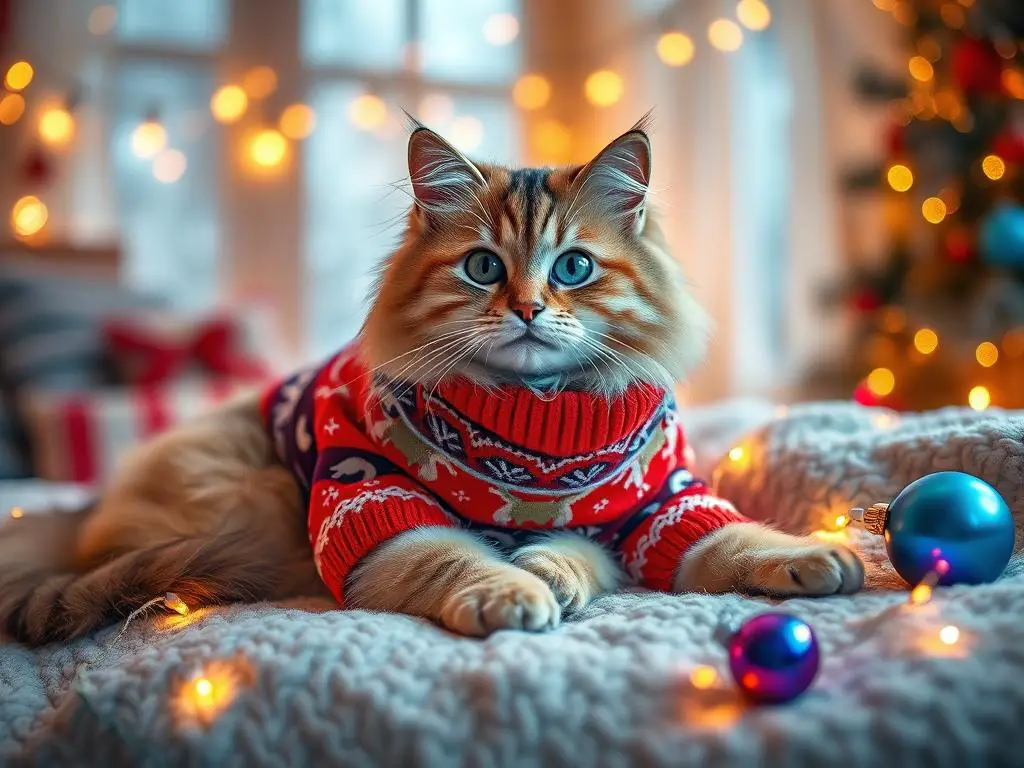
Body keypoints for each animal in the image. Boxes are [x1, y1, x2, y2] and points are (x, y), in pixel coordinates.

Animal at [0, 117, 864, 647]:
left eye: (573, 268)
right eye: (482, 267)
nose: (527, 308)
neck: (534, 425)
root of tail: (79, 522)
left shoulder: (662, 504)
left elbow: (730, 539)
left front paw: (814, 558)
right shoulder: (370, 502)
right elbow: (453, 557)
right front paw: (512, 591)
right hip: (260, 503)